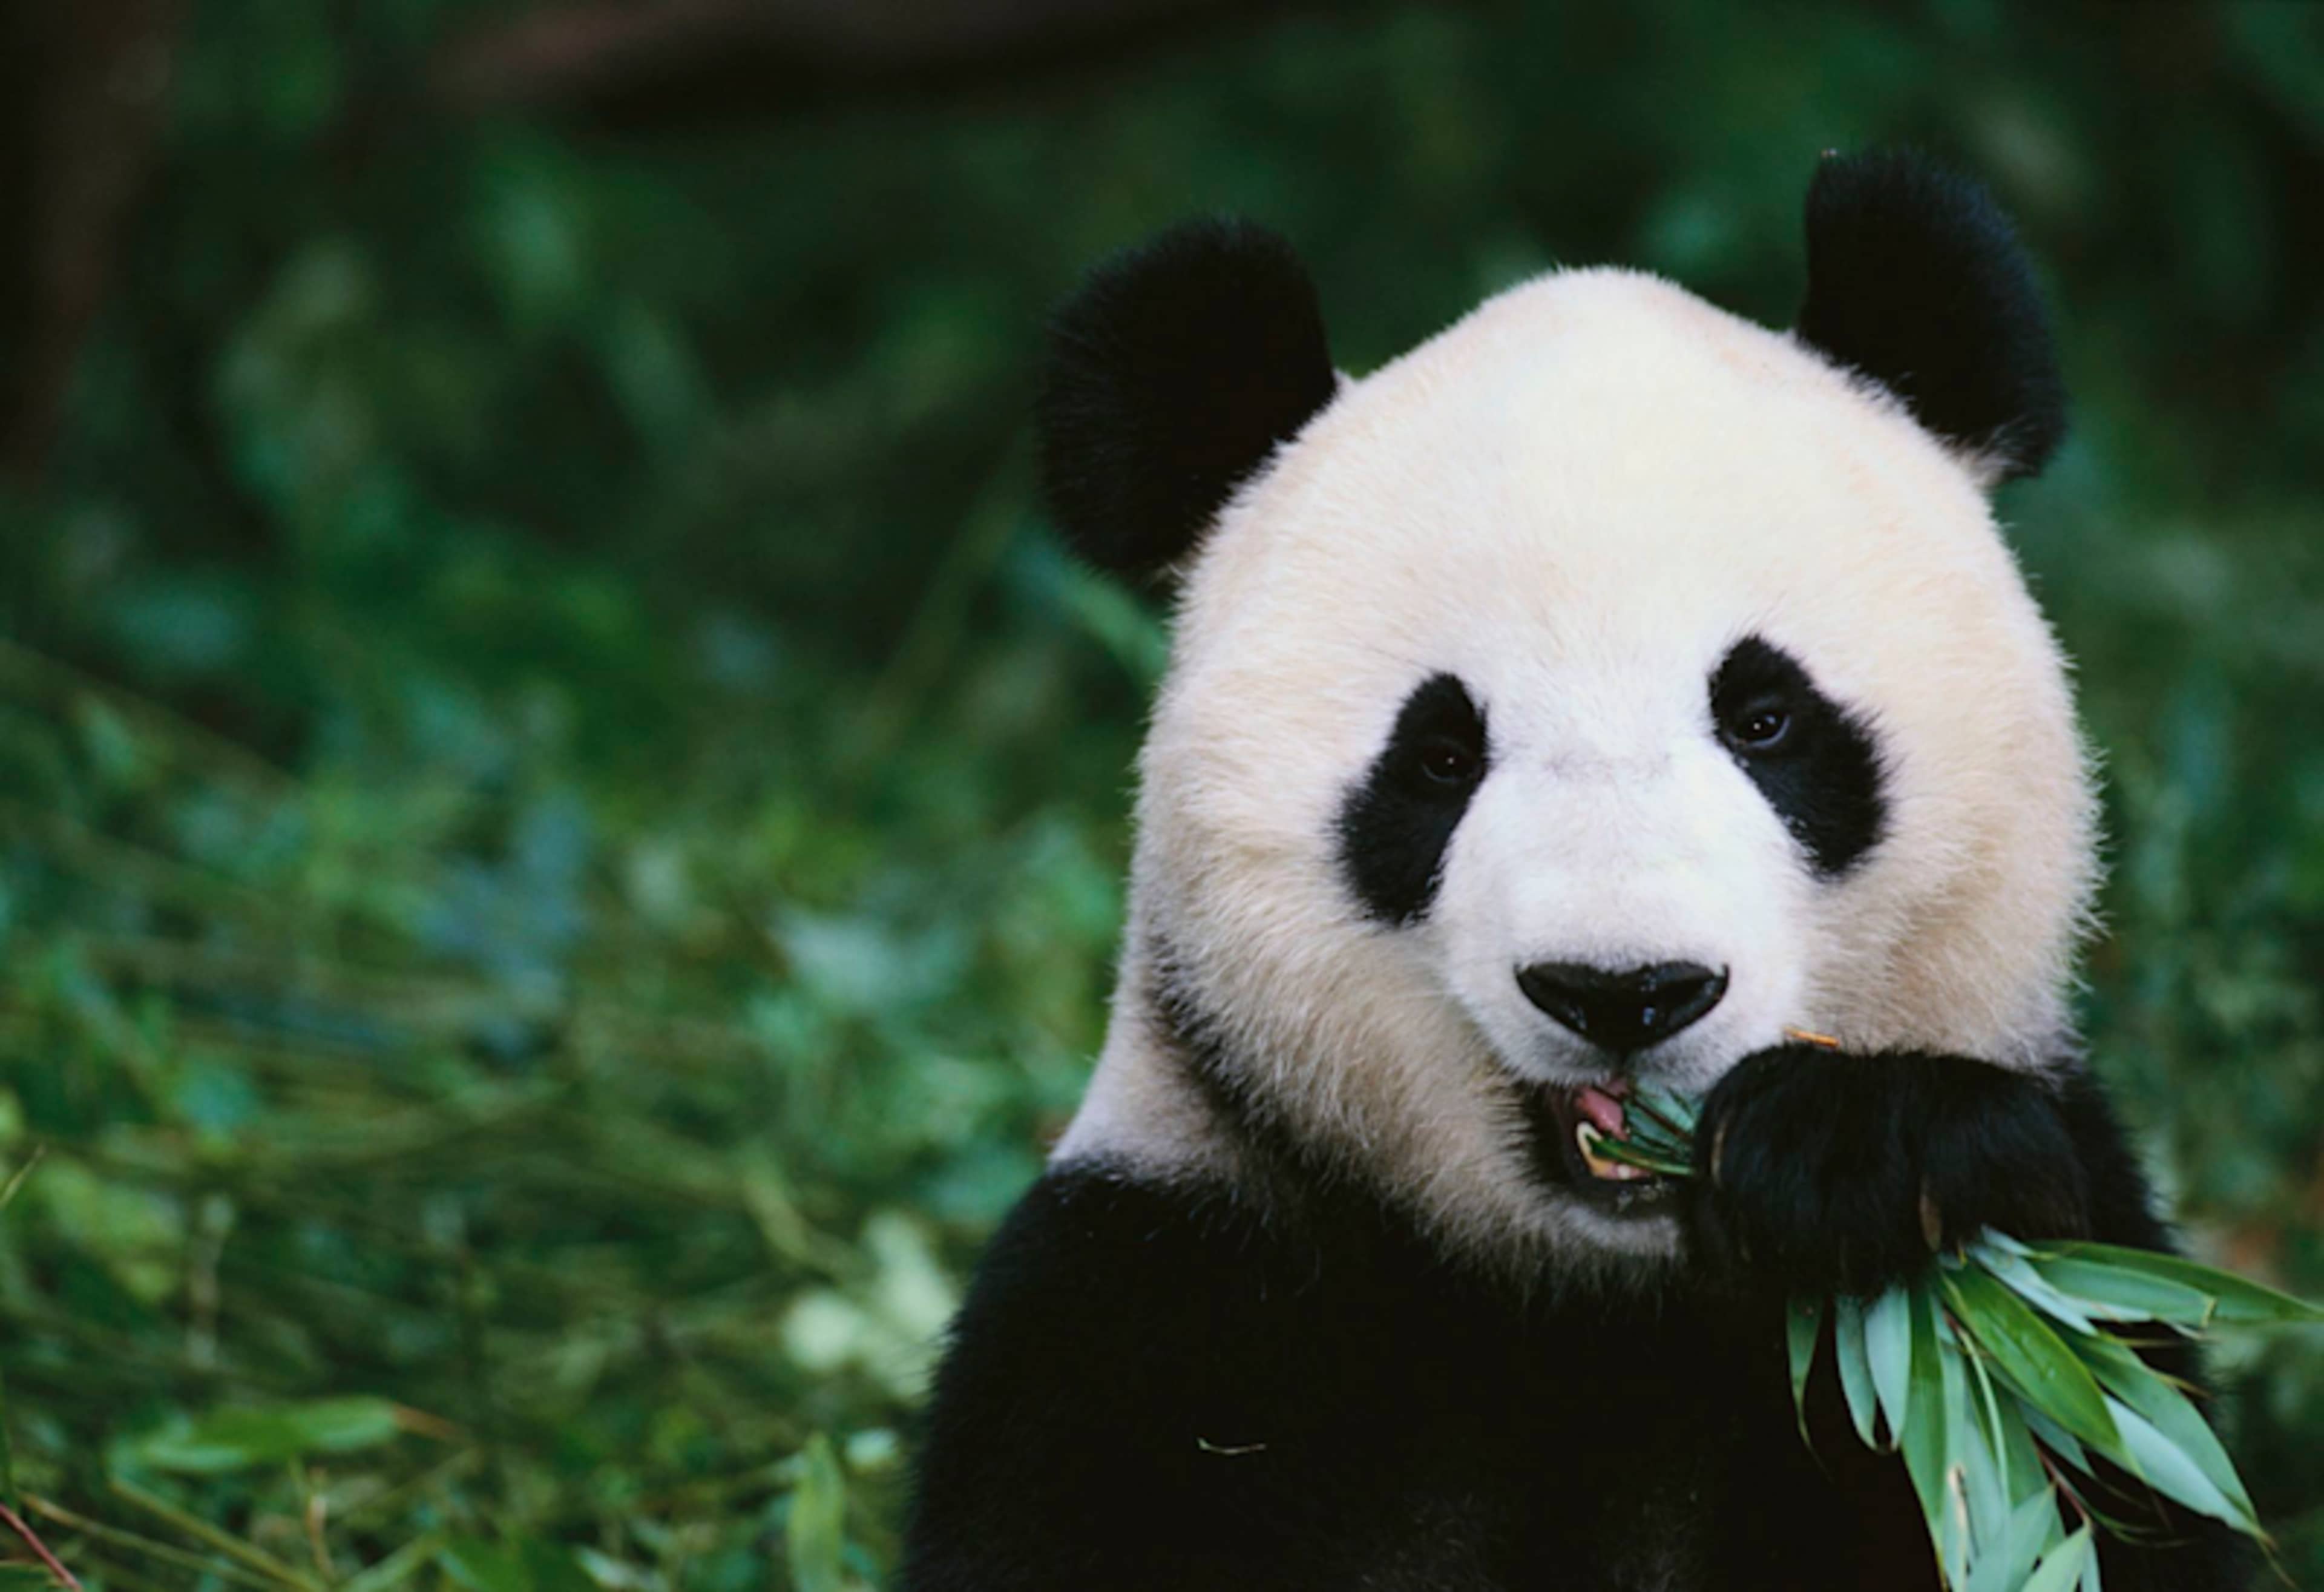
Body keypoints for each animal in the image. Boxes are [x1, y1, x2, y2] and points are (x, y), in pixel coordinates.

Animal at [900, 153, 2251, 1591]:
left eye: (1765, 719)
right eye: (1440, 757)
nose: (1623, 989)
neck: (1597, 1298)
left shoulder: (2085, 1265)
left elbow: (2058, 1462)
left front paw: (1870, 1158)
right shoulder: (1161, 1288)